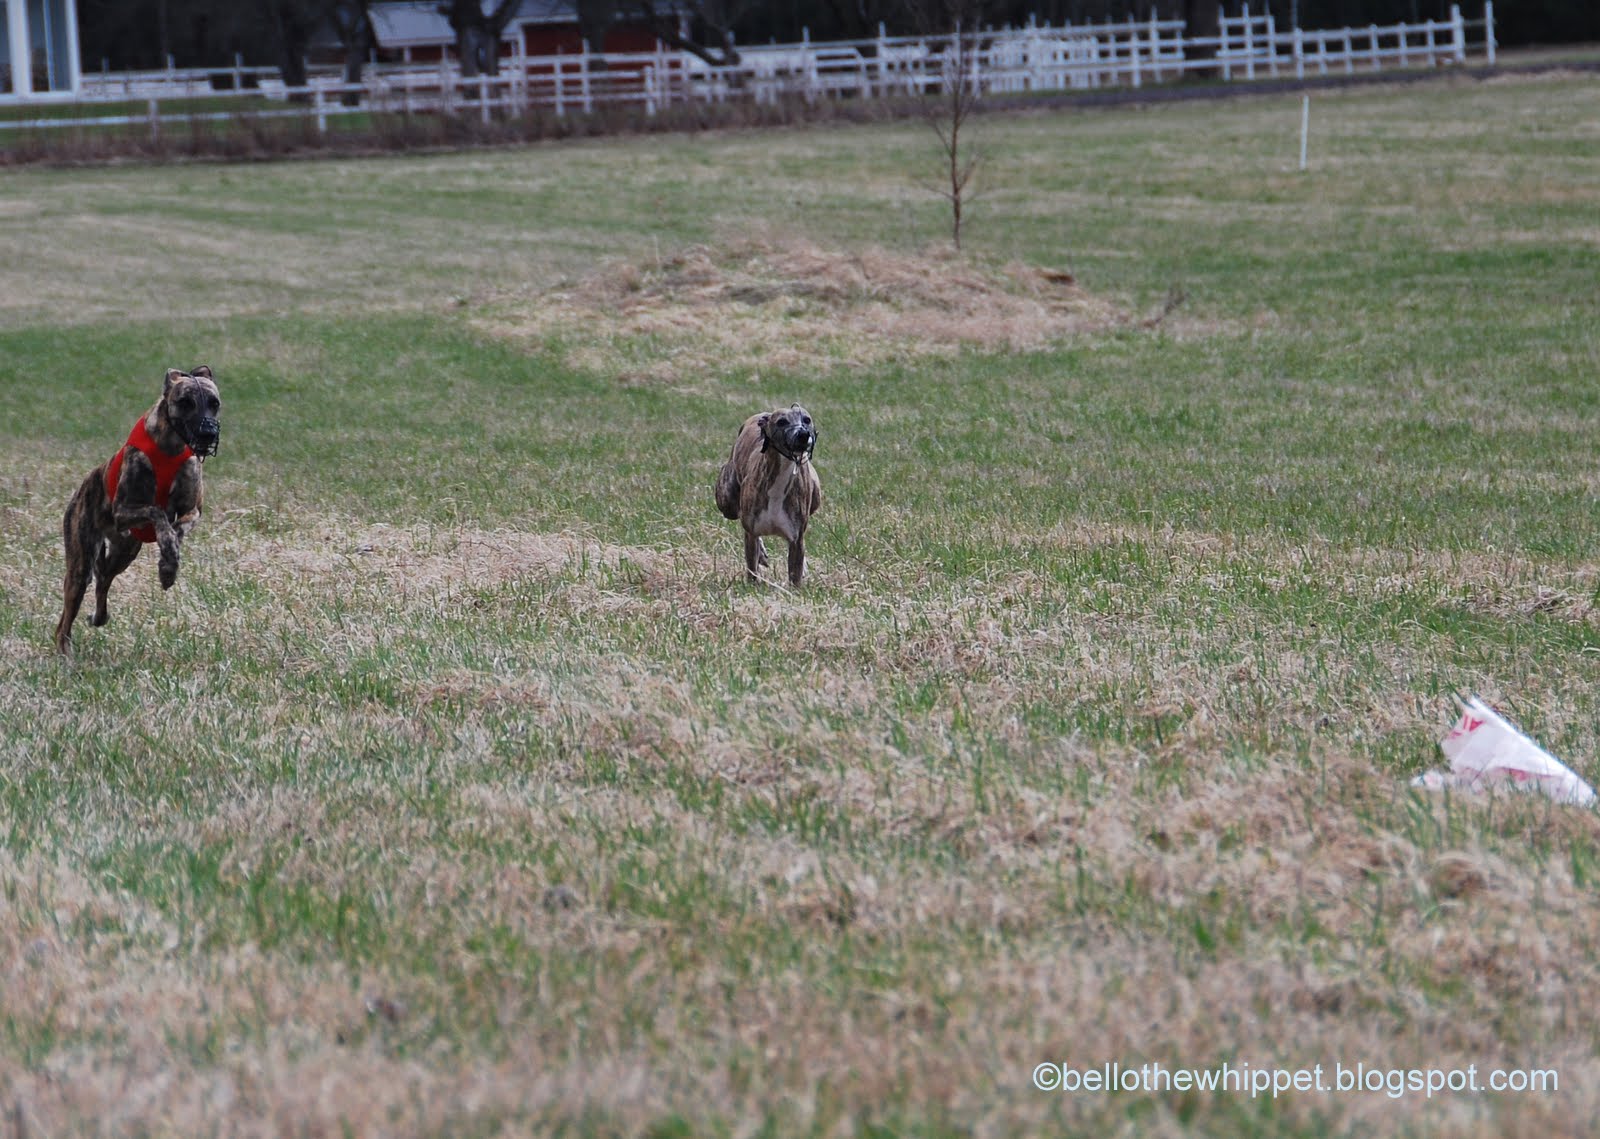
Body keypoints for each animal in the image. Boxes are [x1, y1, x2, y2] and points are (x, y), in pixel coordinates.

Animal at [55, 367, 222, 654]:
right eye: (185, 402)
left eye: (215, 403)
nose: (208, 433)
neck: (170, 447)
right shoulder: (122, 511)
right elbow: (157, 512)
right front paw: (167, 561)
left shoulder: (193, 510)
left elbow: (176, 528)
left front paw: (168, 565)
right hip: (80, 561)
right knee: (67, 615)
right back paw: (65, 650)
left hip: (124, 552)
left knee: (104, 579)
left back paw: (99, 617)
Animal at [714, 403, 822, 586]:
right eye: (781, 422)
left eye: (807, 419)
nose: (803, 434)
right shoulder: (751, 531)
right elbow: (752, 565)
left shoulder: (796, 539)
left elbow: (795, 574)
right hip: (727, 501)